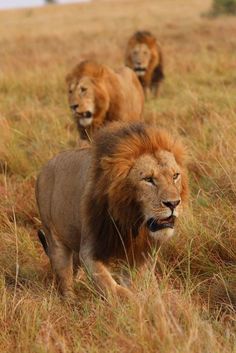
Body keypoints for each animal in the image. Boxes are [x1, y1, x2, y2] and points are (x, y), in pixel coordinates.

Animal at [36, 121, 189, 300]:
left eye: (175, 176)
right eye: (148, 179)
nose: (173, 203)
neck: (132, 221)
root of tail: (45, 167)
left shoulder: (139, 256)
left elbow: (143, 287)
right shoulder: (90, 251)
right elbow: (113, 289)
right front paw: (133, 303)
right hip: (54, 238)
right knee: (64, 275)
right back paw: (70, 300)